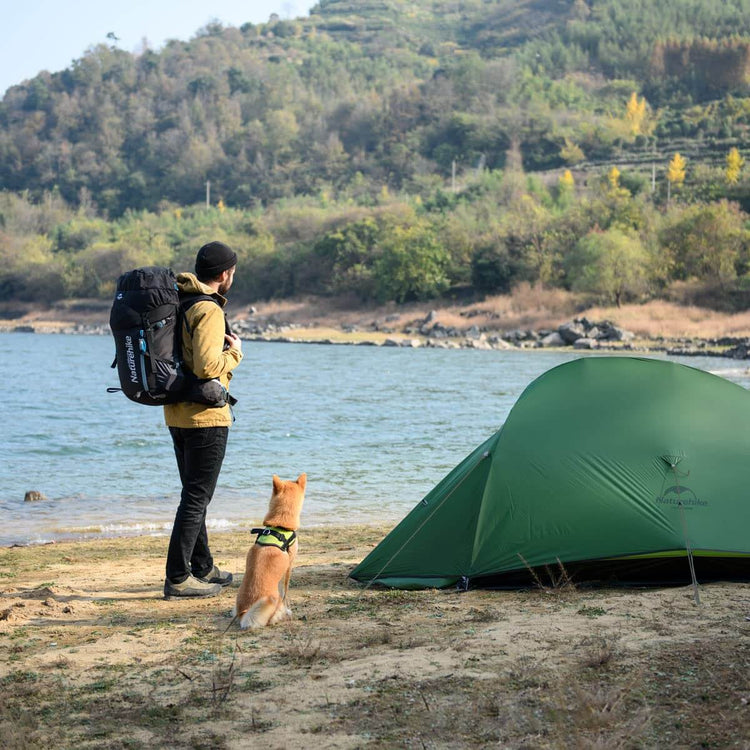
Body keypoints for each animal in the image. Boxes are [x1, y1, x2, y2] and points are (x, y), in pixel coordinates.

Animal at [234, 476, 306, 628]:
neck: (279, 527)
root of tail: (245, 614)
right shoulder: (289, 566)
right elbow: (285, 591)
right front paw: (288, 607)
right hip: (274, 602)